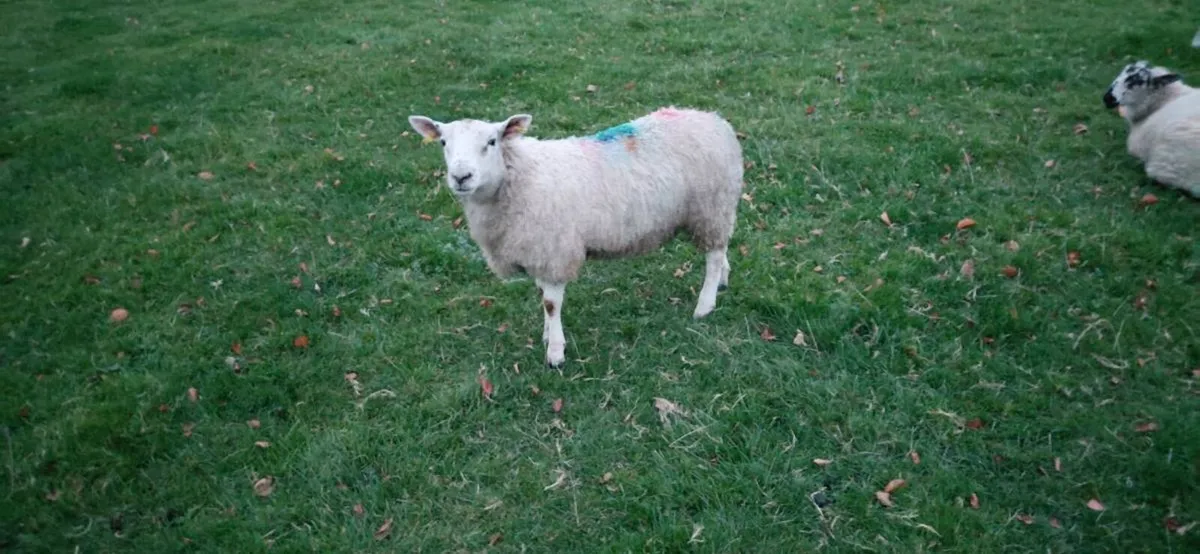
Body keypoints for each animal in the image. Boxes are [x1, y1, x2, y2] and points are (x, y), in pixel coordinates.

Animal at [407, 107, 744, 368]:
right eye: (443, 142)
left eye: (491, 141)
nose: (461, 177)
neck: (519, 177)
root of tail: (714, 120)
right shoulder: (539, 250)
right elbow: (542, 294)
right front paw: (547, 335)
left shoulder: (555, 249)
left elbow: (551, 303)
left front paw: (555, 352)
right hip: (716, 208)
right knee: (722, 246)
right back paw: (723, 280)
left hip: (711, 205)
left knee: (713, 255)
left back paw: (705, 304)